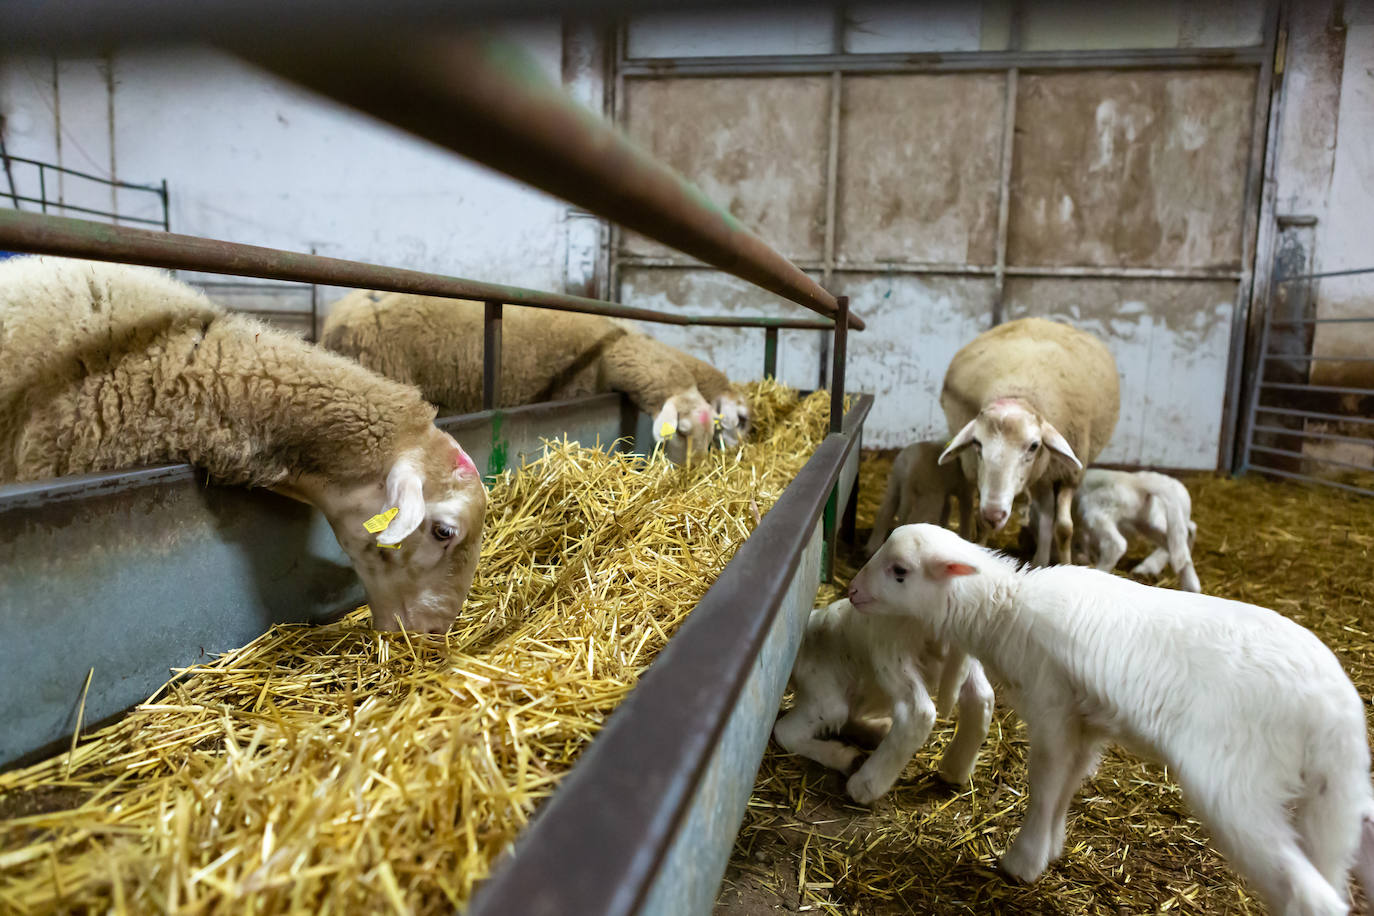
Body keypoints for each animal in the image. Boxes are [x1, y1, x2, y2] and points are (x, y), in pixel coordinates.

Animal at [769, 596, 994, 802]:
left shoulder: (823, 699)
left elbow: (784, 734)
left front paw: (843, 757)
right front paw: (878, 730)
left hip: (891, 649)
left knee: (918, 713)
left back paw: (864, 786)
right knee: (982, 697)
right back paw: (955, 769)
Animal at [846, 521, 1374, 916]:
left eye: (899, 571)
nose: (851, 591)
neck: (1006, 611)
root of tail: (1337, 712)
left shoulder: (1053, 705)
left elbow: (1044, 780)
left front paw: (1021, 861)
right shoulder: (1086, 722)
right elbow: (1067, 783)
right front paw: (1048, 849)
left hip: (1238, 782)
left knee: (1310, 894)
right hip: (1331, 790)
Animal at [939, 318, 1121, 568]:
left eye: (1034, 446)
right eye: (977, 443)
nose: (995, 515)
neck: (1018, 394)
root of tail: (1044, 321)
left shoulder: (1069, 474)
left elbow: (1064, 528)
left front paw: (1066, 564)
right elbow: (981, 523)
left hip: (1049, 470)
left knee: (1047, 512)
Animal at [1071, 472, 1203, 596]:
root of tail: (1136, 482)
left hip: (1098, 510)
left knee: (1116, 544)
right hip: (1145, 522)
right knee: (1180, 545)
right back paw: (1190, 586)